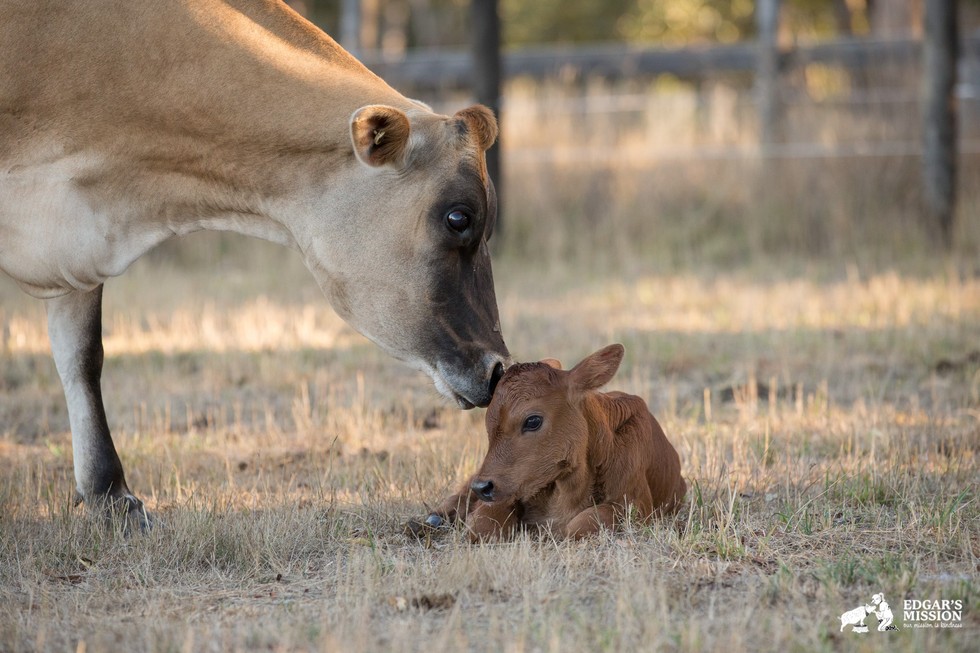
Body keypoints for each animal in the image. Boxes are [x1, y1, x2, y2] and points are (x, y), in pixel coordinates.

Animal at [424, 344, 686, 540]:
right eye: (488, 422)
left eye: (532, 421)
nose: (483, 487)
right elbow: (483, 525)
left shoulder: (637, 505)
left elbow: (584, 522)